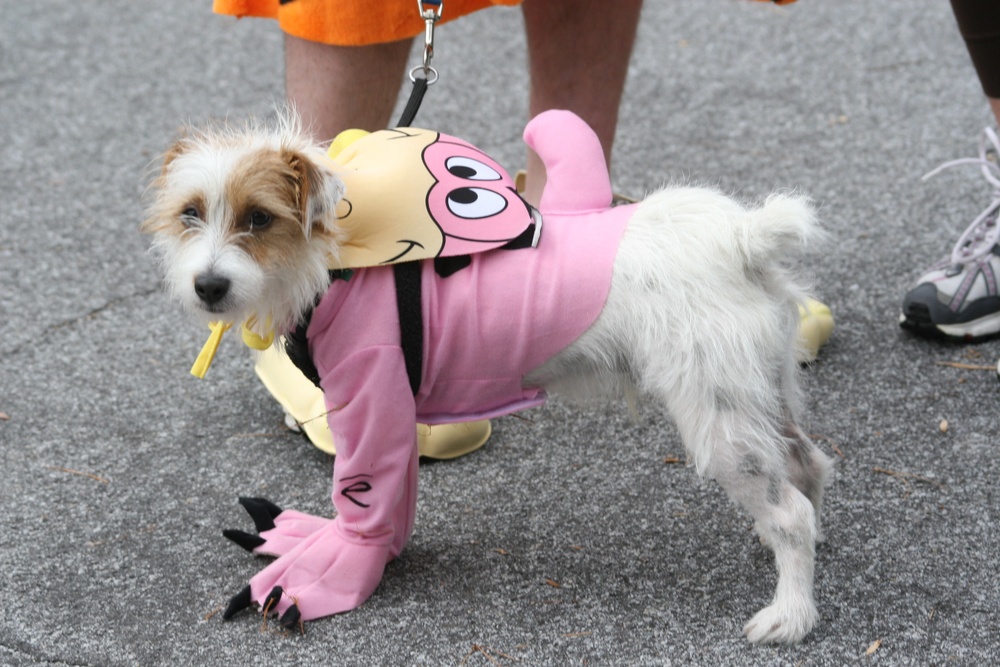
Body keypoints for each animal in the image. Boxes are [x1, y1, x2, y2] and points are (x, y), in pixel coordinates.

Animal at [146, 111, 836, 648]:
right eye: (190, 213)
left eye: (260, 218)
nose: (209, 286)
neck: (338, 256)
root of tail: (741, 238)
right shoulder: (392, 410)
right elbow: (395, 495)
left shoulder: (371, 397)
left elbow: (362, 494)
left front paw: (331, 566)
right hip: (760, 395)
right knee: (806, 467)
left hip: (720, 420)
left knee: (792, 513)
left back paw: (791, 615)